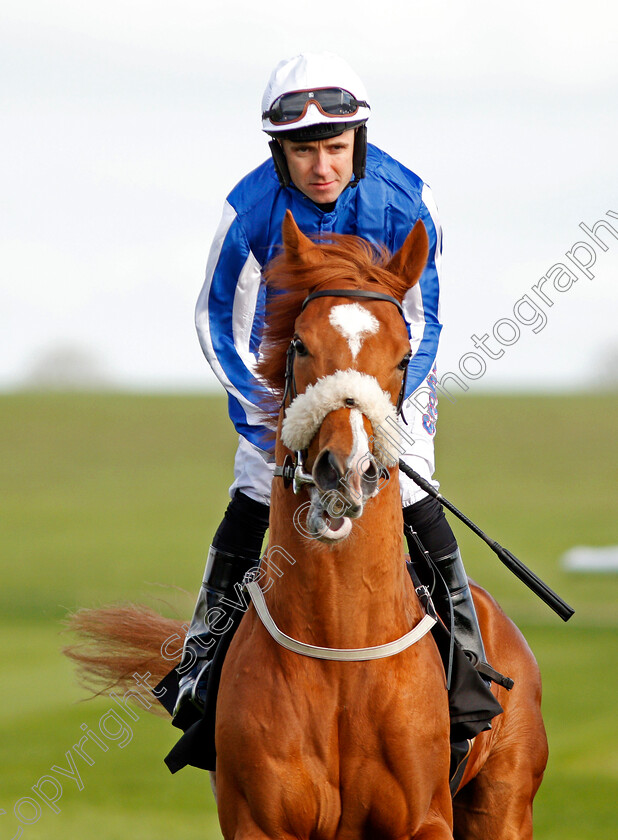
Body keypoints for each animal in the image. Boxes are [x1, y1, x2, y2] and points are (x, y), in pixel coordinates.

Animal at [65, 213, 548, 836]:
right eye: (299, 345)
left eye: (403, 357)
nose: (346, 471)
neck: (340, 645)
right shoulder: (259, 820)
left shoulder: (425, 820)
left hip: (503, 804)